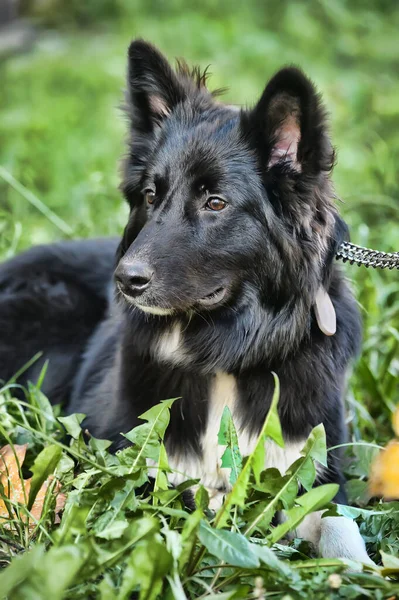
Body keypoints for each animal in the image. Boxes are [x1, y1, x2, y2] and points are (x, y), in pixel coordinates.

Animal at [0, 41, 374, 564]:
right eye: (150, 195)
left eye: (215, 203)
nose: (125, 280)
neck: (224, 348)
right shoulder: (123, 461)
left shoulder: (316, 468)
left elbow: (339, 521)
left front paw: (361, 567)